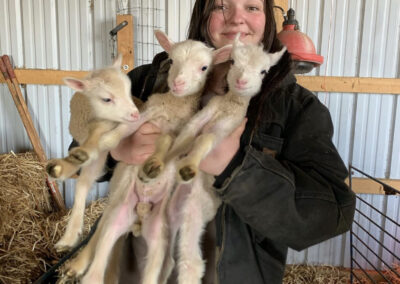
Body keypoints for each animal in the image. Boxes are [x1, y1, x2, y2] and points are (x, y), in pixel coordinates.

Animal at [62, 30, 231, 284]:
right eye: (172, 60)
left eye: (204, 68)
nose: (178, 83)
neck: (173, 106)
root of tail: (140, 213)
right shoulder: (145, 114)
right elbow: (119, 134)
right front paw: (99, 145)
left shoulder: (181, 130)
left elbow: (170, 142)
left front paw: (154, 166)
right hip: (121, 202)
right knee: (104, 231)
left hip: (168, 225)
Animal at [161, 36, 286, 282]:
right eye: (234, 62)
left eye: (264, 71)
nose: (242, 81)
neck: (229, 106)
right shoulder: (206, 112)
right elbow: (188, 133)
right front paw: (161, 160)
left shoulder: (227, 128)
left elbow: (206, 138)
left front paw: (188, 166)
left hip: (194, 211)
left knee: (191, 262)